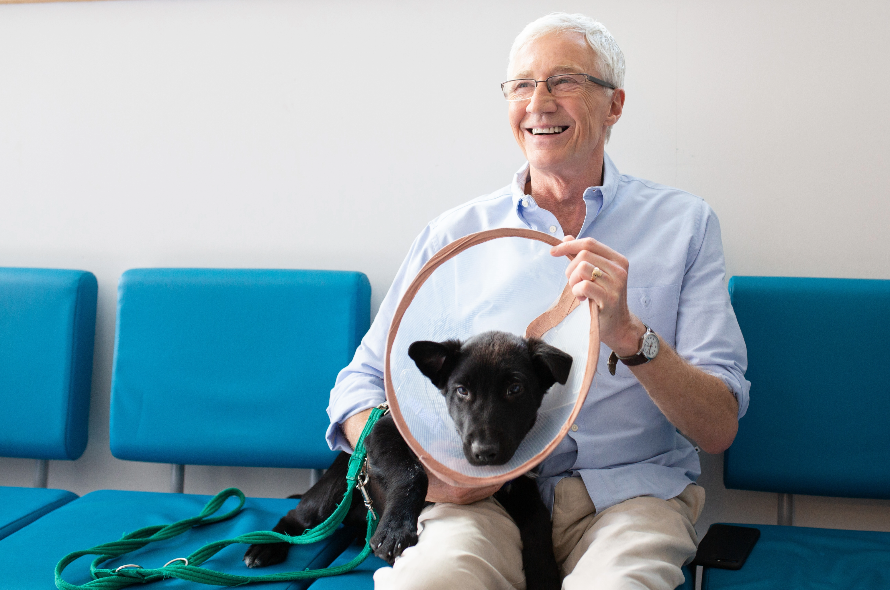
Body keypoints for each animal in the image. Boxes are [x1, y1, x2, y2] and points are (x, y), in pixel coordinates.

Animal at [243, 330, 568, 588]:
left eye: (515, 389)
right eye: (462, 391)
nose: (484, 452)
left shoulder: (519, 482)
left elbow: (539, 519)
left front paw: (544, 573)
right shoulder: (385, 431)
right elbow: (412, 473)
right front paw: (396, 528)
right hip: (333, 492)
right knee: (298, 517)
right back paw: (265, 546)